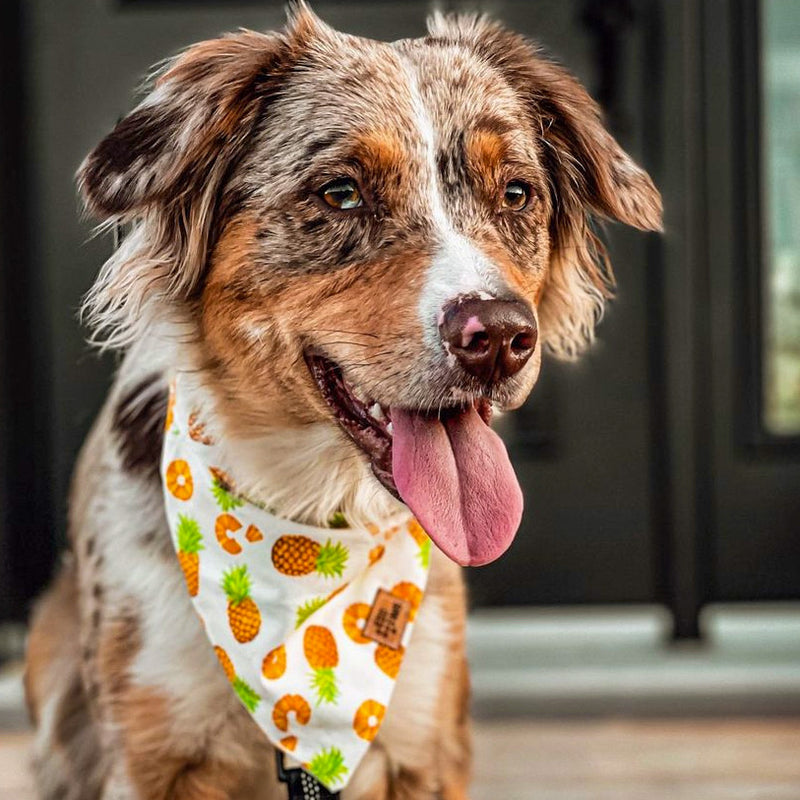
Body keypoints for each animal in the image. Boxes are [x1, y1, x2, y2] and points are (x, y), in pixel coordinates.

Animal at [26, 3, 664, 796]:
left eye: (516, 194)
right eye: (341, 193)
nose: (499, 337)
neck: (308, 529)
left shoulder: (424, 739)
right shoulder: (151, 752)